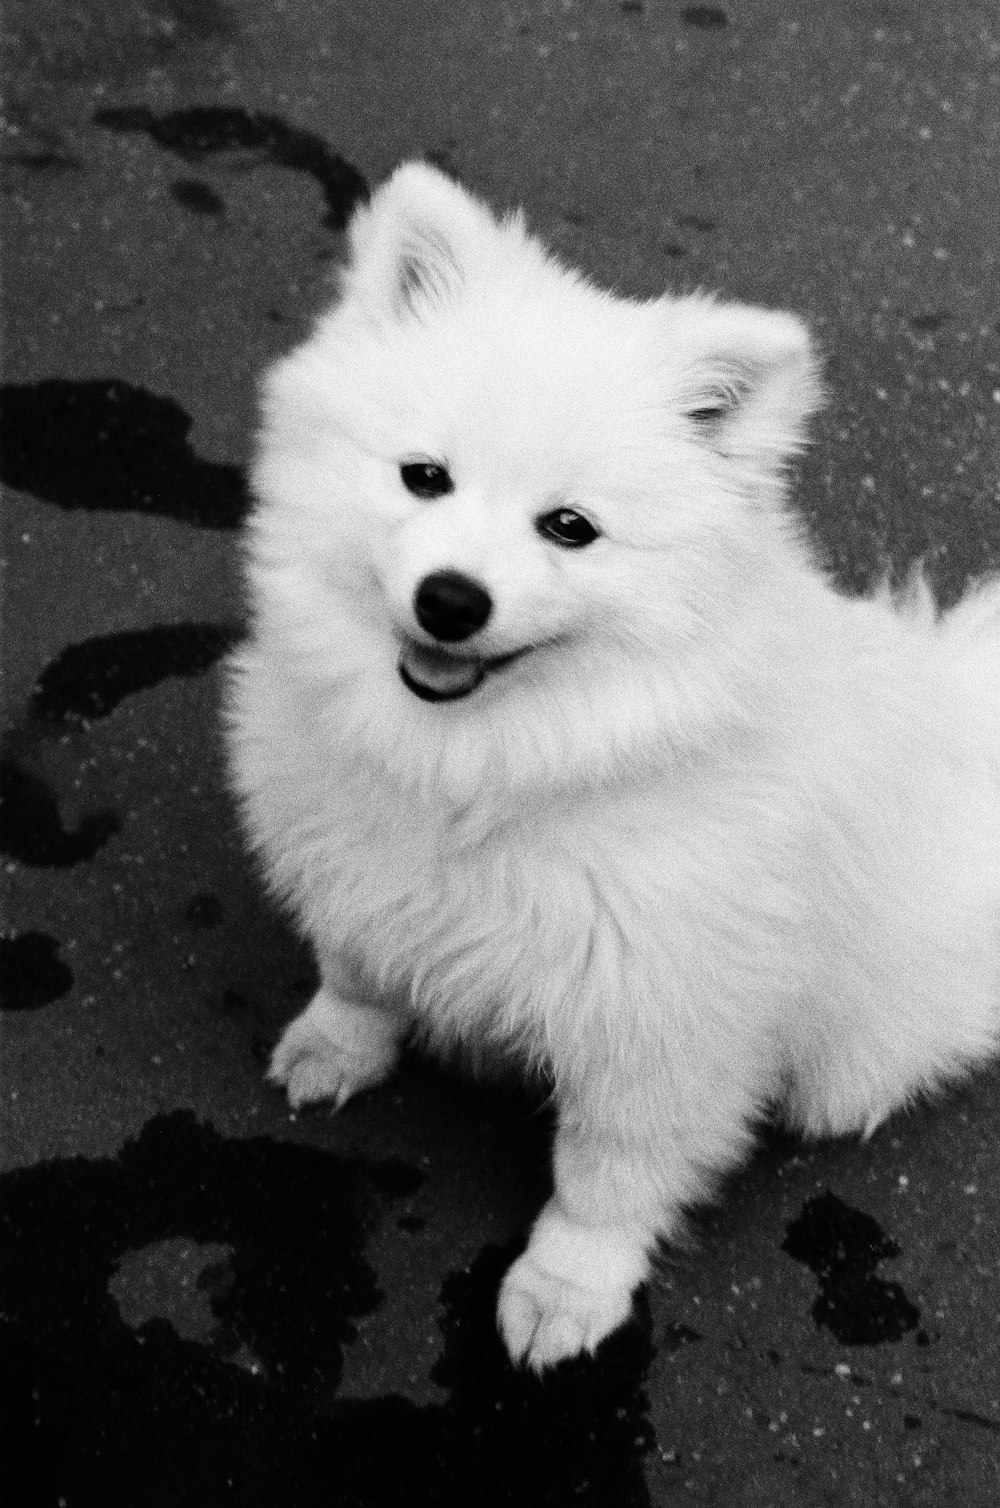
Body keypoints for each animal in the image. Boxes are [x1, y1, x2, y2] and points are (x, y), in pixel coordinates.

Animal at [224, 162, 1000, 1369]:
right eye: (424, 477)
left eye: (569, 528)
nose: (452, 599)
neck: (490, 769)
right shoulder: (359, 862)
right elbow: (356, 969)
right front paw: (334, 1043)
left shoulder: (657, 1007)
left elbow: (603, 1171)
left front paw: (565, 1286)